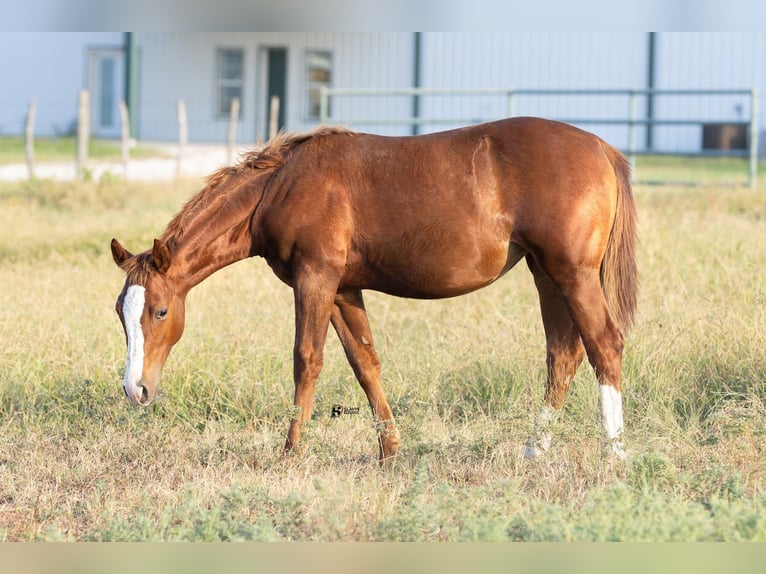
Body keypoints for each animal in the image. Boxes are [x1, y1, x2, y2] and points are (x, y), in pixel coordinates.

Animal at [111, 117, 638, 463]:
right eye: (121, 313)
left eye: (160, 312)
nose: (136, 390)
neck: (281, 184)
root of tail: (601, 148)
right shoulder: (343, 289)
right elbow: (364, 363)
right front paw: (389, 449)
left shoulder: (315, 278)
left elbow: (307, 359)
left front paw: (290, 451)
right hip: (546, 273)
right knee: (562, 355)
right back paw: (534, 450)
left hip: (572, 273)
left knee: (604, 345)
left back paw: (614, 454)